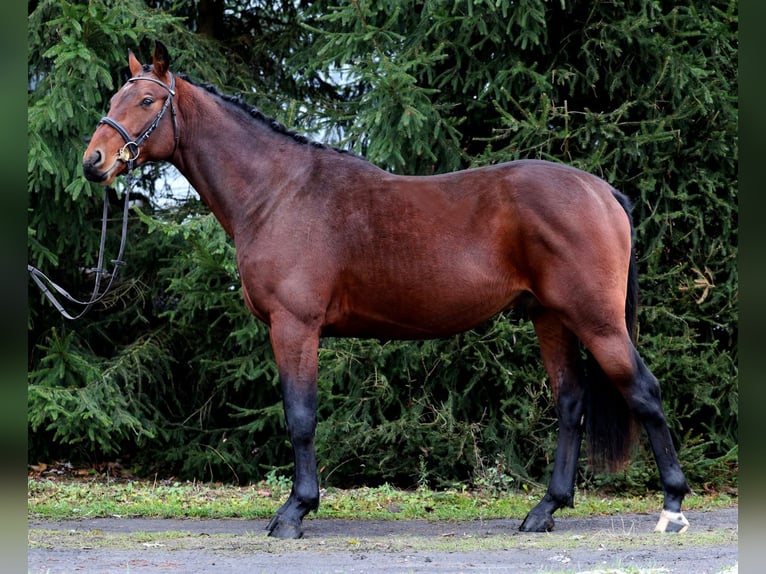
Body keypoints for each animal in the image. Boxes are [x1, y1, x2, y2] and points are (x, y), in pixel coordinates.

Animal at [81, 40, 692, 540]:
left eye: (144, 101)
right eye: (114, 96)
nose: (95, 161)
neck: (278, 193)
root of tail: (602, 190)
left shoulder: (295, 326)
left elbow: (300, 416)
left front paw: (295, 511)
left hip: (596, 319)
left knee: (643, 391)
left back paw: (672, 507)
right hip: (551, 317)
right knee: (570, 402)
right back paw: (544, 511)